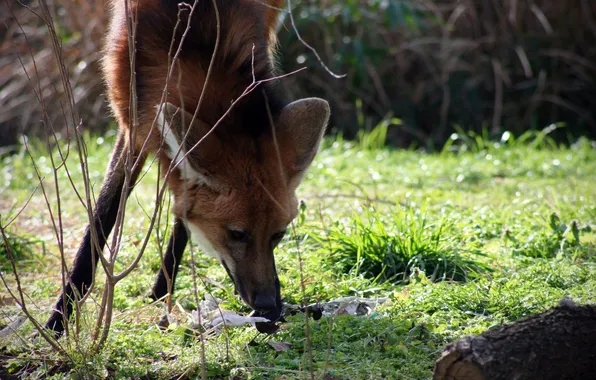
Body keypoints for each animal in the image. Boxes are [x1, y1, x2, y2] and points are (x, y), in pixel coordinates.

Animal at [46, 0, 330, 332]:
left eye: (278, 234)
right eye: (237, 234)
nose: (268, 307)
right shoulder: (134, 124)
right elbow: (103, 215)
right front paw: (58, 317)